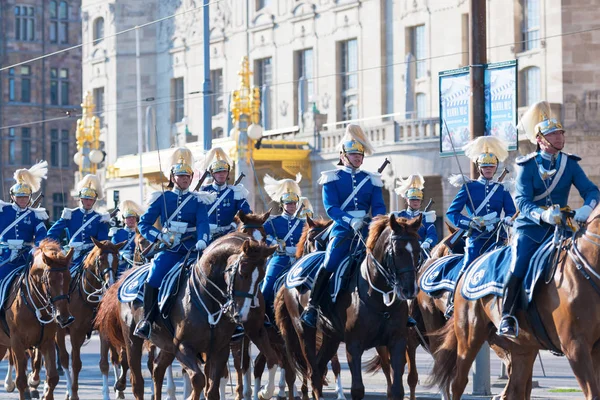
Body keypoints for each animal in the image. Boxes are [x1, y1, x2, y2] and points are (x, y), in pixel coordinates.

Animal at [0, 241, 74, 400]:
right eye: (49, 281)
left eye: (69, 278)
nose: (64, 317)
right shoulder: (17, 342)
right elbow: (21, 380)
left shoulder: (47, 341)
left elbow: (52, 377)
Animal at [97, 238, 278, 400]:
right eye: (242, 273)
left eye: (261, 277)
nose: (244, 314)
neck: (209, 298)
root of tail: (127, 274)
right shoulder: (183, 348)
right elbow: (198, 380)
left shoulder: (220, 349)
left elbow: (212, 390)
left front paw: (265, 391)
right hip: (132, 340)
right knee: (137, 383)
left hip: (167, 344)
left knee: (157, 369)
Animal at [274, 214, 420, 400]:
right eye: (398, 251)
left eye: (417, 251)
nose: (409, 290)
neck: (379, 296)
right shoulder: (354, 345)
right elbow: (357, 389)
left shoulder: (397, 342)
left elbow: (397, 390)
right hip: (303, 333)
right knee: (313, 373)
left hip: (331, 337)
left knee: (319, 368)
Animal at [432, 208, 600, 398]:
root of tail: (471, 264)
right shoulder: (575, 347)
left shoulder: (594, 349)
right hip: (469, 337)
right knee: (458, 382)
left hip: (523, 346)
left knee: (516, 389)